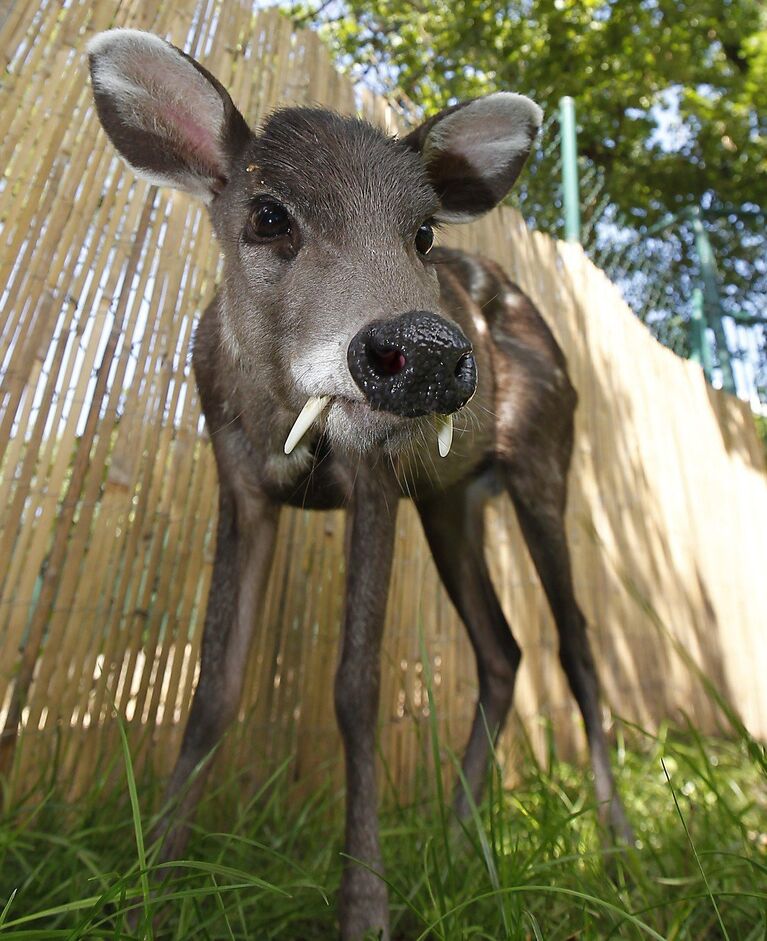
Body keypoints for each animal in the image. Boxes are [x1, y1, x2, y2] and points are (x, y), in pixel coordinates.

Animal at [87, 29, 632, 940]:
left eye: (422, 233)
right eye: (268, 215)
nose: (430, 354)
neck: (281, 418)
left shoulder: (374, 480)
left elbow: (356, 686)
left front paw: (365, 903)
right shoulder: (238, 484)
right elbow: (212, 684)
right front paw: (148, 889)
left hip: (543, 463)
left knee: (577, 645)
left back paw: (615, 848)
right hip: (449, 500)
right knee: (502, 649)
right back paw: (455, 846)